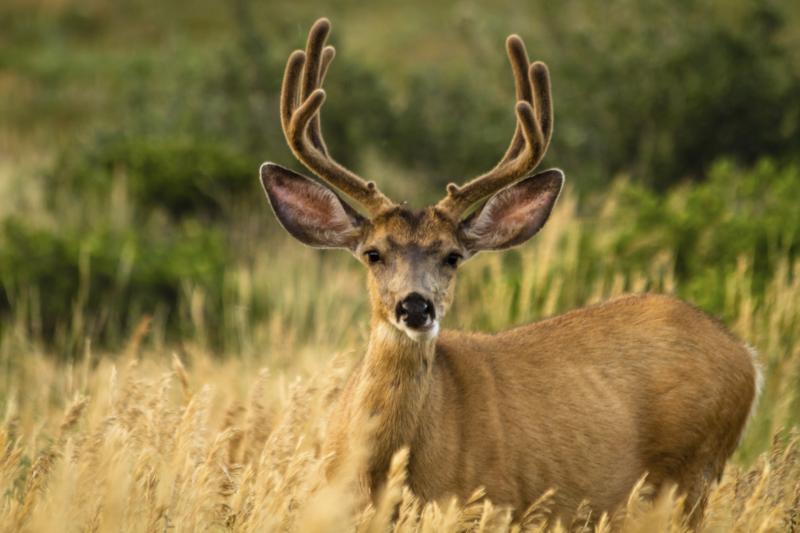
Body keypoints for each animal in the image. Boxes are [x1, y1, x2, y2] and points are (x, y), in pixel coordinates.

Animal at [259, 18, 761, 527]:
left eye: (452, 256)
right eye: (373, 253)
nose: (415, 307)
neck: (385, 468)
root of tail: (746, 357)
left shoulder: (486, 501)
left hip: (691, 470)